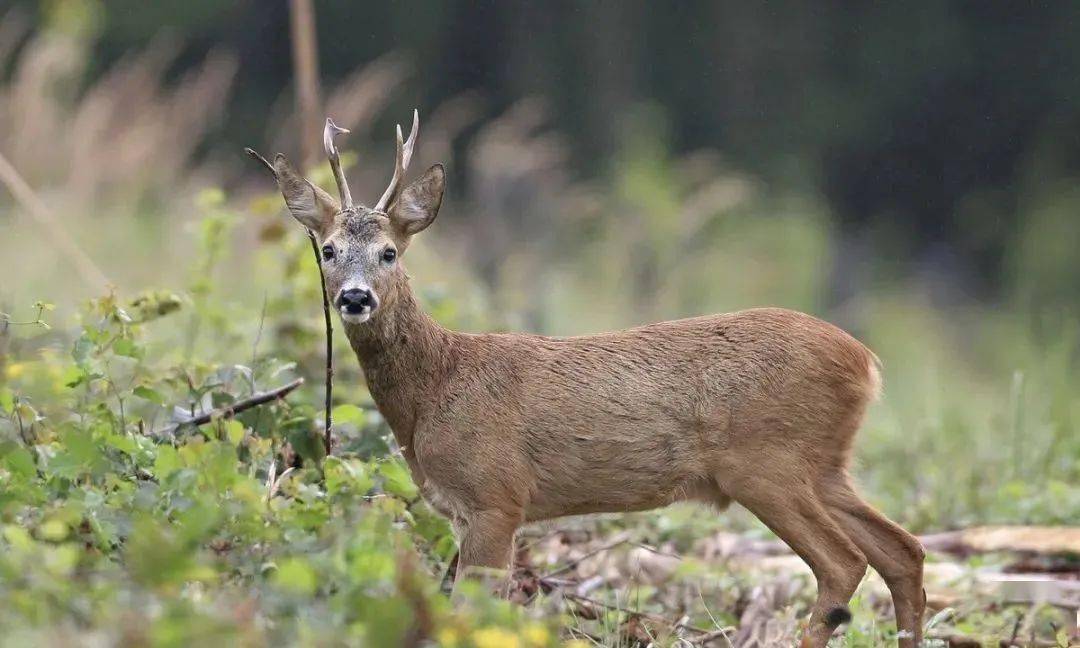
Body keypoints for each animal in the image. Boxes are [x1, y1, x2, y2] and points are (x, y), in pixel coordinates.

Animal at [247, 111, 928, 648]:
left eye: (390, 252)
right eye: (328, 250)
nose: (355, 298)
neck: (436, 390)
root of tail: (866, 361)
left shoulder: (496, 497)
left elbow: (473, 609)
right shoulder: (464, 510)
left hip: (767, 462)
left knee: (843, 564)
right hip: (825, 465)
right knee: (903, 550)